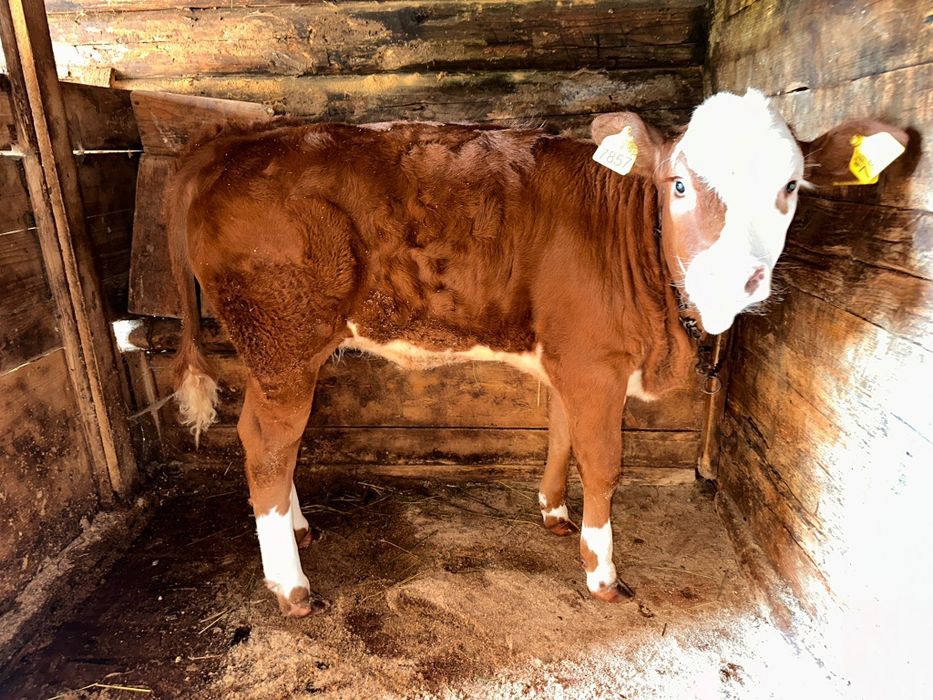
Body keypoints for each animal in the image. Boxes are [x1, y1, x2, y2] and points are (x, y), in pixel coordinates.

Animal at [166, 89, 906, 617]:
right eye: (678, 185)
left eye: (790, 187)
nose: (738, 278)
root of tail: (233, 140)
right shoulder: (594, 362)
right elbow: (602, 462)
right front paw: (601, 572)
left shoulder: (568, 356)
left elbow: (560, 434)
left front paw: (552, 513)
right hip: (281, 337)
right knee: (265, 440)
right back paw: (291, 587)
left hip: (284, 351)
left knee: (280, 441)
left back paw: (296, 528)